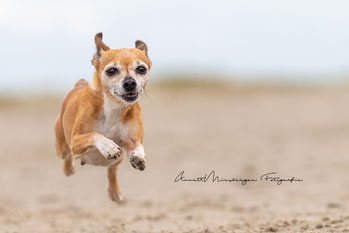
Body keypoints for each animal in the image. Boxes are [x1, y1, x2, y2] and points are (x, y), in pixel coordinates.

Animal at [53, 32, 151, 202]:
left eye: (141, 69)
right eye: (111, 70)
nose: (130, 83)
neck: (114, 107)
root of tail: (80, 84)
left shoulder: (131, 140)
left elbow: (138, 146)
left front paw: (138, 156)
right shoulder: (75, 141)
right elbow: (95, 134)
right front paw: (108, 146)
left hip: (119, 159)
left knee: (112, 171)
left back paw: (114, 192)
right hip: (63, 147)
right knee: (67, 157)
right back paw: (69, 168)